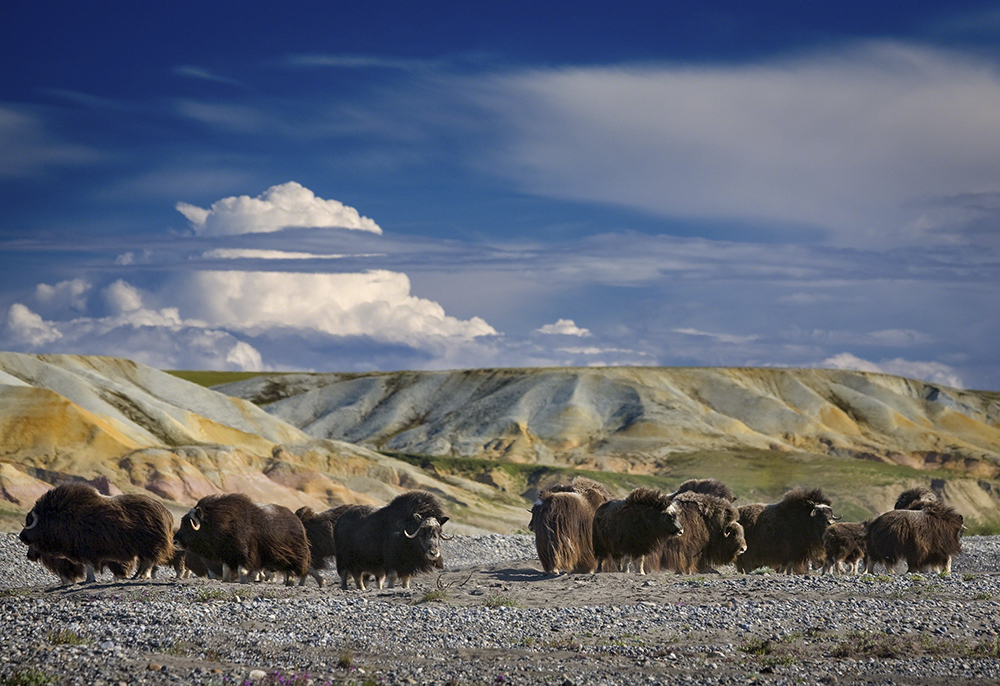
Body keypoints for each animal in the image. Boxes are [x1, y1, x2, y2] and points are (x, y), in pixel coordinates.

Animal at [19, 484, 174, 584]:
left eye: (29, 521)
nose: (21, 536)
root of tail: (166, 512)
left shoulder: (85, 550)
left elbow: (88, 565)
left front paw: (88, 580)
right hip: (142, 549)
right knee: (144, 562)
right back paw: (136, 576)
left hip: (150, 545)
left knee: (148, 561)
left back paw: (142, 577)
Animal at [173, 494, 308, 584]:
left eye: (188, 523)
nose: (175, 541)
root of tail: (297, 521)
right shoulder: (227, 555)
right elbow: (225, 570)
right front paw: (225, 581)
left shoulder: (245, 554)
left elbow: (242, 570)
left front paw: (243, 582)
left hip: (297, 556)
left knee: (297, 571)